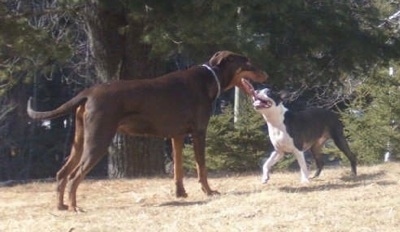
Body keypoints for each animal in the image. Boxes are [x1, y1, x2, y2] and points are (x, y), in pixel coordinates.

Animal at [28, 51, 268, 212]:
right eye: (247, 62)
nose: (266, 74)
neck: (211, 79)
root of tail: (87, 93)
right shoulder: (199, 132)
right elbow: (202, 167)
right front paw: (209, 191)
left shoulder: (177, 136)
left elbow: (178, 169)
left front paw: (180, 193)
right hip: (98, 140)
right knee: (75, 175)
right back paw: (75, 206)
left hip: (80, 141)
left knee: (62, 173)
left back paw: (61, 206)